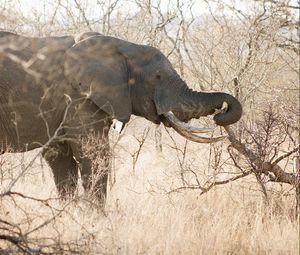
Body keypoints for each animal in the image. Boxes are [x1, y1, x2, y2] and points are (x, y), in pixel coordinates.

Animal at [0, 31, 241, 203]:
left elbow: (61, 159)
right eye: (158, 77)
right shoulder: (78, 98)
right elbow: (93, 155)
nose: (221, 111)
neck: (122, 47)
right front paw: (97, 221)